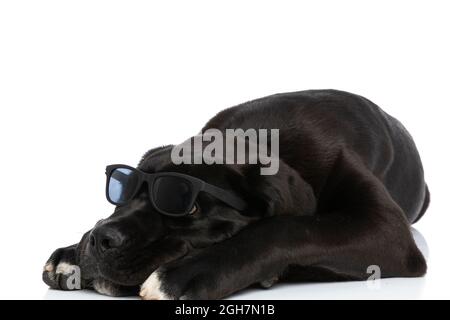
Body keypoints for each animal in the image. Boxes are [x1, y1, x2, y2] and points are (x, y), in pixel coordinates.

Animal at [42, 90, 428, 300]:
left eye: (187, 207)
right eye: (122, 191)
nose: (101, 239)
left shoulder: (385, 230)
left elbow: (290, 227)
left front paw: (185, 273)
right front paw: (72, 251)